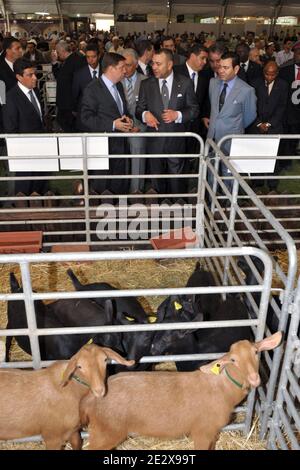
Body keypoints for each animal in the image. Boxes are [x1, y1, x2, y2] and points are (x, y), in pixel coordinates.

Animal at [0, 344, 134, 450]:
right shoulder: (52, 436)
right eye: (79, 366)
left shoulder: (73, 430)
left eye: (105, 360)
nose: (99, 390)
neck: (71, 389)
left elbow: (77, 443)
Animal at [79, 330, 282, 448]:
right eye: (233, 360)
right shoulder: (203, 431)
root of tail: (90, 398)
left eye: (256, 353)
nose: (255, 378)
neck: (223, 388)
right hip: (106, 432)